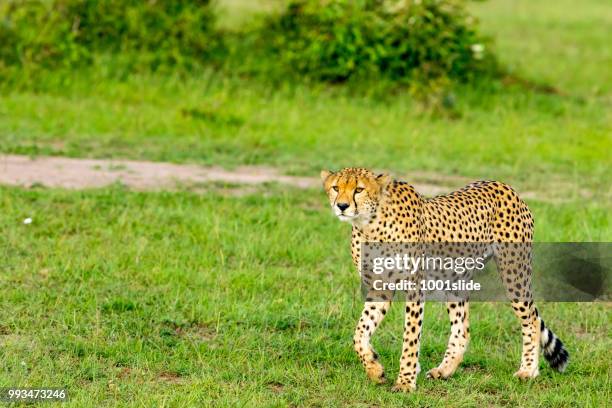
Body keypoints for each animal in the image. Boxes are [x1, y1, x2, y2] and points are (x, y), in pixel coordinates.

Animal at [320, 168, 568, 392]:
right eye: (336, 188)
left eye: (359, 189)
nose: (342, 206)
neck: (369, 224)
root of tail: (504, 185)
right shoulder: (379, 287)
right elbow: (360, 332)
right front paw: (374, 368)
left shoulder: (414, 288)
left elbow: (410, 337)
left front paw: (405, 381)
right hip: (456, 280)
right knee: (462, 329)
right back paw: (444, 370)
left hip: (514, 272)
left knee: (531, 320)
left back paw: (528, 370)